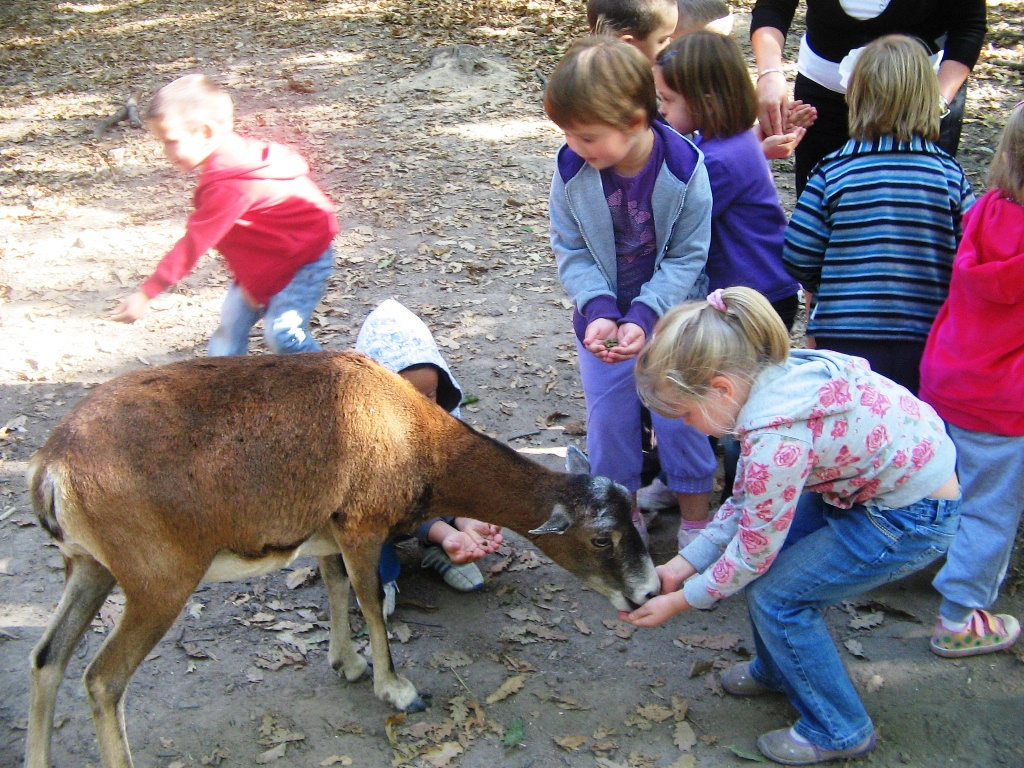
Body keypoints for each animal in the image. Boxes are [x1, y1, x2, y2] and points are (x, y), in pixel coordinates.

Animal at [25, 350, 663, 768]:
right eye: (601, 539)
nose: (648, 591)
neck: (415, 439)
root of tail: (52, 469)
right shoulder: (362, 526)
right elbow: (371, 602)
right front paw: (396, 688)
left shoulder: (326, 534)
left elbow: (335, 591)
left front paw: (347, 665)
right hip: (157, 580)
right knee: (102, 679)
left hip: (89, 567)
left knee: (47, 658)